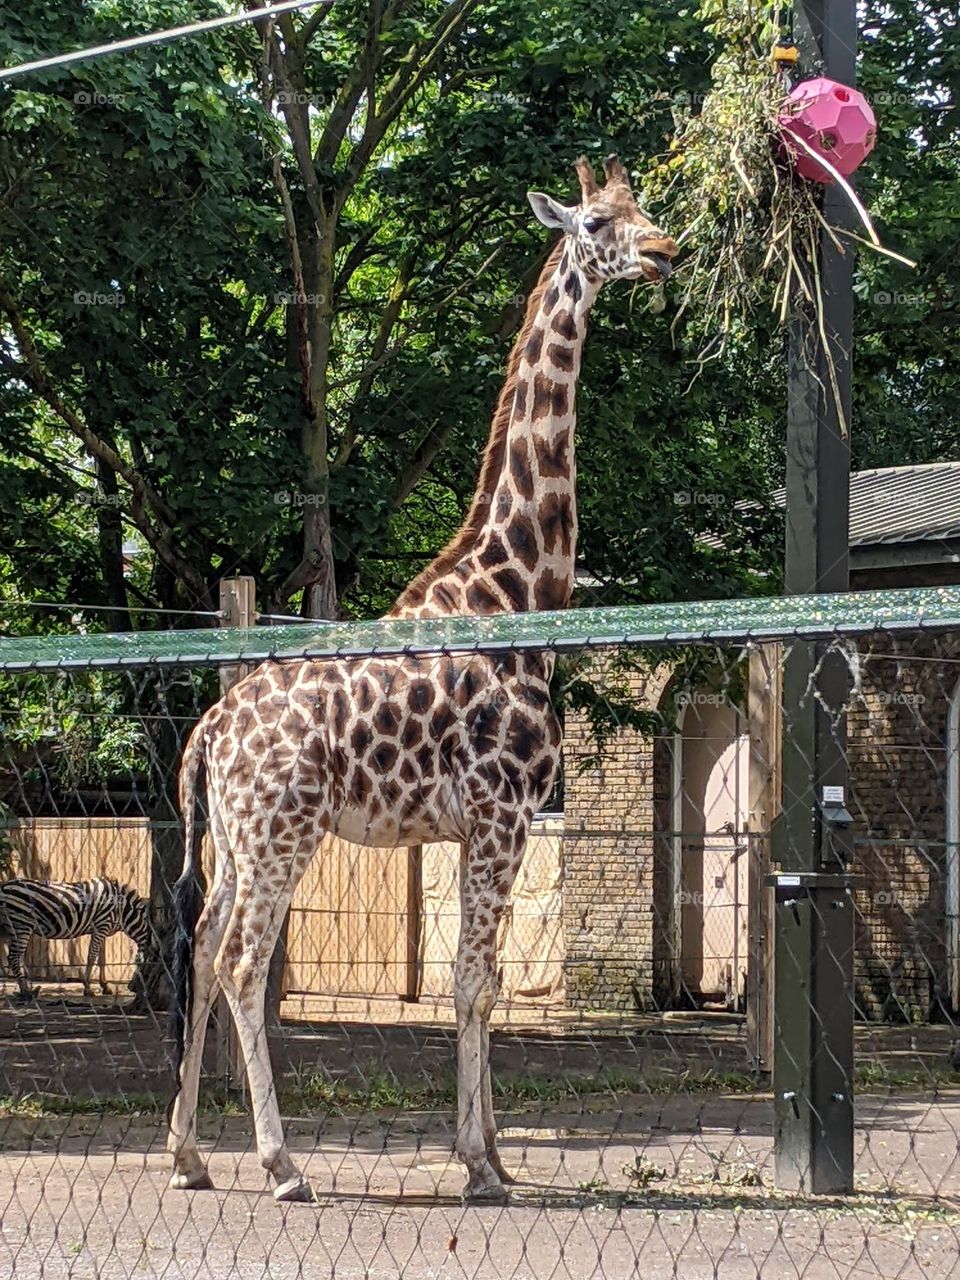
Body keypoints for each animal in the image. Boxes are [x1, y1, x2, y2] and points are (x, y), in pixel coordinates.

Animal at [0, 877, 150, 1001]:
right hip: (22, 924)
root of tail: (4, 886)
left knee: (16, 957)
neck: (121, 909)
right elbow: (92, 957)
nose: (132, 988)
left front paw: (105, 986)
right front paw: (88, 989)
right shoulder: (101, 926)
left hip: (12, 928)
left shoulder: (103, 929)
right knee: (13, 957)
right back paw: (26, 992)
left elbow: (102, 960)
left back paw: (25, 989)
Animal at [166, 154, 678, 1204]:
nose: (667, 251)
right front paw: (480, 1164)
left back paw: (190, 1153)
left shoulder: (489, 823)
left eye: (645, 208)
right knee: (241, 965)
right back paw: (281, 1164)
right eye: (600, 221)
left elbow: (479, 983)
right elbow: (473, 982)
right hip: (281, 833)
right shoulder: (501, 811)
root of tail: (210, 732)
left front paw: (495, 1157)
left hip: (235, 841)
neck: (516, 594)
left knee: (201, 954)